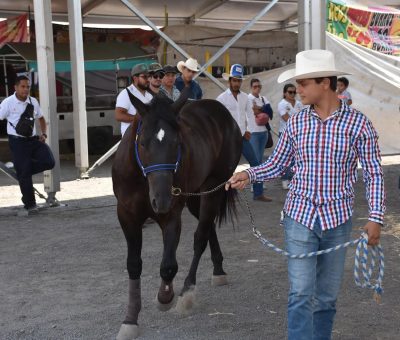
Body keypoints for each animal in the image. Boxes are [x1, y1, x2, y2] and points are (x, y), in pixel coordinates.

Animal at [111, 91, 241, 338]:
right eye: (142, 143)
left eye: (177, 143)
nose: (161, 199)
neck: (143, 181)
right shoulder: (126, 215)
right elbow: (133, 264)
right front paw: (130, 320)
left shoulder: (171, 215)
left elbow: (168, 265)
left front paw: (165, 297)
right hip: (195, 196)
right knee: (207, 226)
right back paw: (218, 269)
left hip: (213, 188)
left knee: (201, 236)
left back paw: (188, 290)